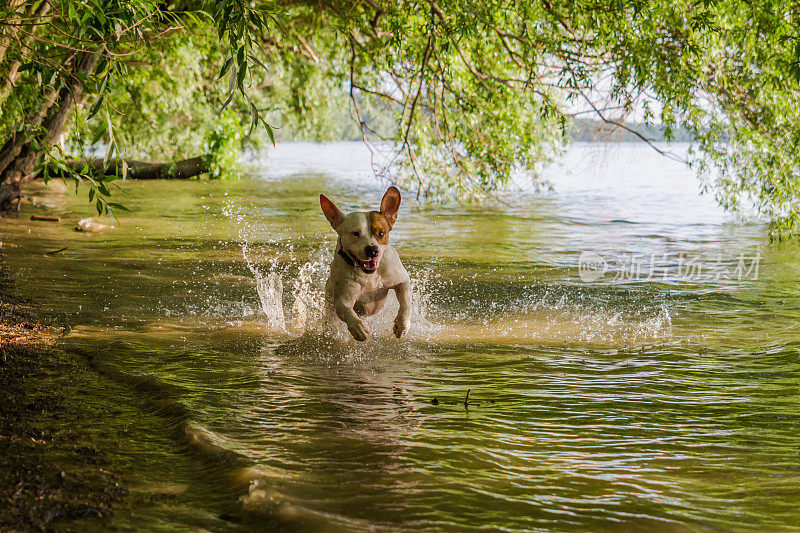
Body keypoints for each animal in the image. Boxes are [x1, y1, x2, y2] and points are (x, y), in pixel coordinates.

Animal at [320, 187, 412, 340]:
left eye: (381, 233)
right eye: (356, 233)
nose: (372, 250)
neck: (369, 275)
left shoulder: (401, 280)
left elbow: (405, 303)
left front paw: (401, 324)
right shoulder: (343, 298)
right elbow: (346, 310)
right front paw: (358, 327)